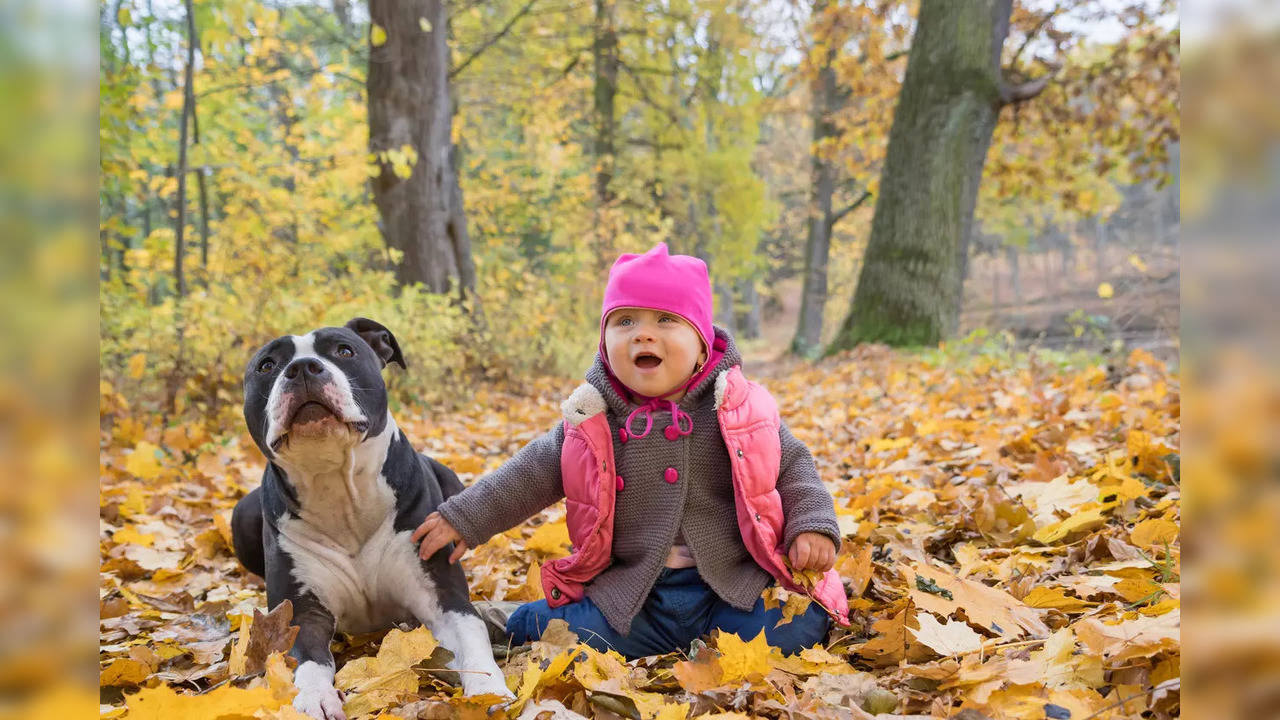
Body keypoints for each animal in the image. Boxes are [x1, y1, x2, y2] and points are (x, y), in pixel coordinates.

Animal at [232, 316, 512, 712]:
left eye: (344, 351)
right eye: (267, 366)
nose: (302, 367)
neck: (338, 488)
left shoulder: (444, 598)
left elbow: (473, 639)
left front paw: (489, 690)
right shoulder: (300, 613)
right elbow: (307, 659)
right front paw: (314, 697)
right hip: (241, 515)